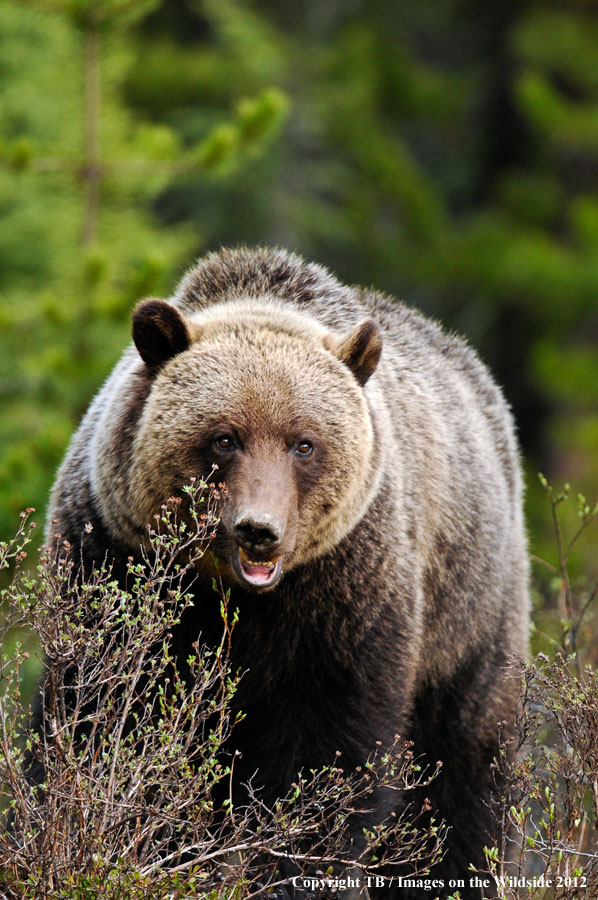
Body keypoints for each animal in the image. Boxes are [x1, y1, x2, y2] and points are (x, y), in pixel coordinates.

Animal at [49, 248, 532, 900]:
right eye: (224, 438)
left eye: (303, 443)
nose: (260, 529)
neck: (238, 598)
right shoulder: (114, 557)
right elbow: (102, 710)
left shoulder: (345, 592)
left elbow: (328, 757)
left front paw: (285, 866)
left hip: (468, 611)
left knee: (464, 768)